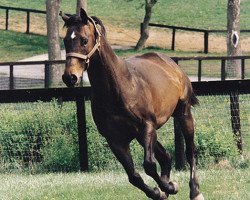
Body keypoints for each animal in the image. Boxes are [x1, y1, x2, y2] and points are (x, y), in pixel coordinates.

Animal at [61, 8, 205, 200]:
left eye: (84, 39)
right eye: (65, 40)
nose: (70, 77)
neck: (120, 89)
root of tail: (170, 63)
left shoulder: (147, 126)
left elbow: (149, 165)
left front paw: (168, 187)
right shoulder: (116, 140)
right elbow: (134, 176)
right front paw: (161, 191)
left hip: (183, 114)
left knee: (190, 152)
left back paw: (195, 191)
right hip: (141, 134)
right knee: (165, 156)